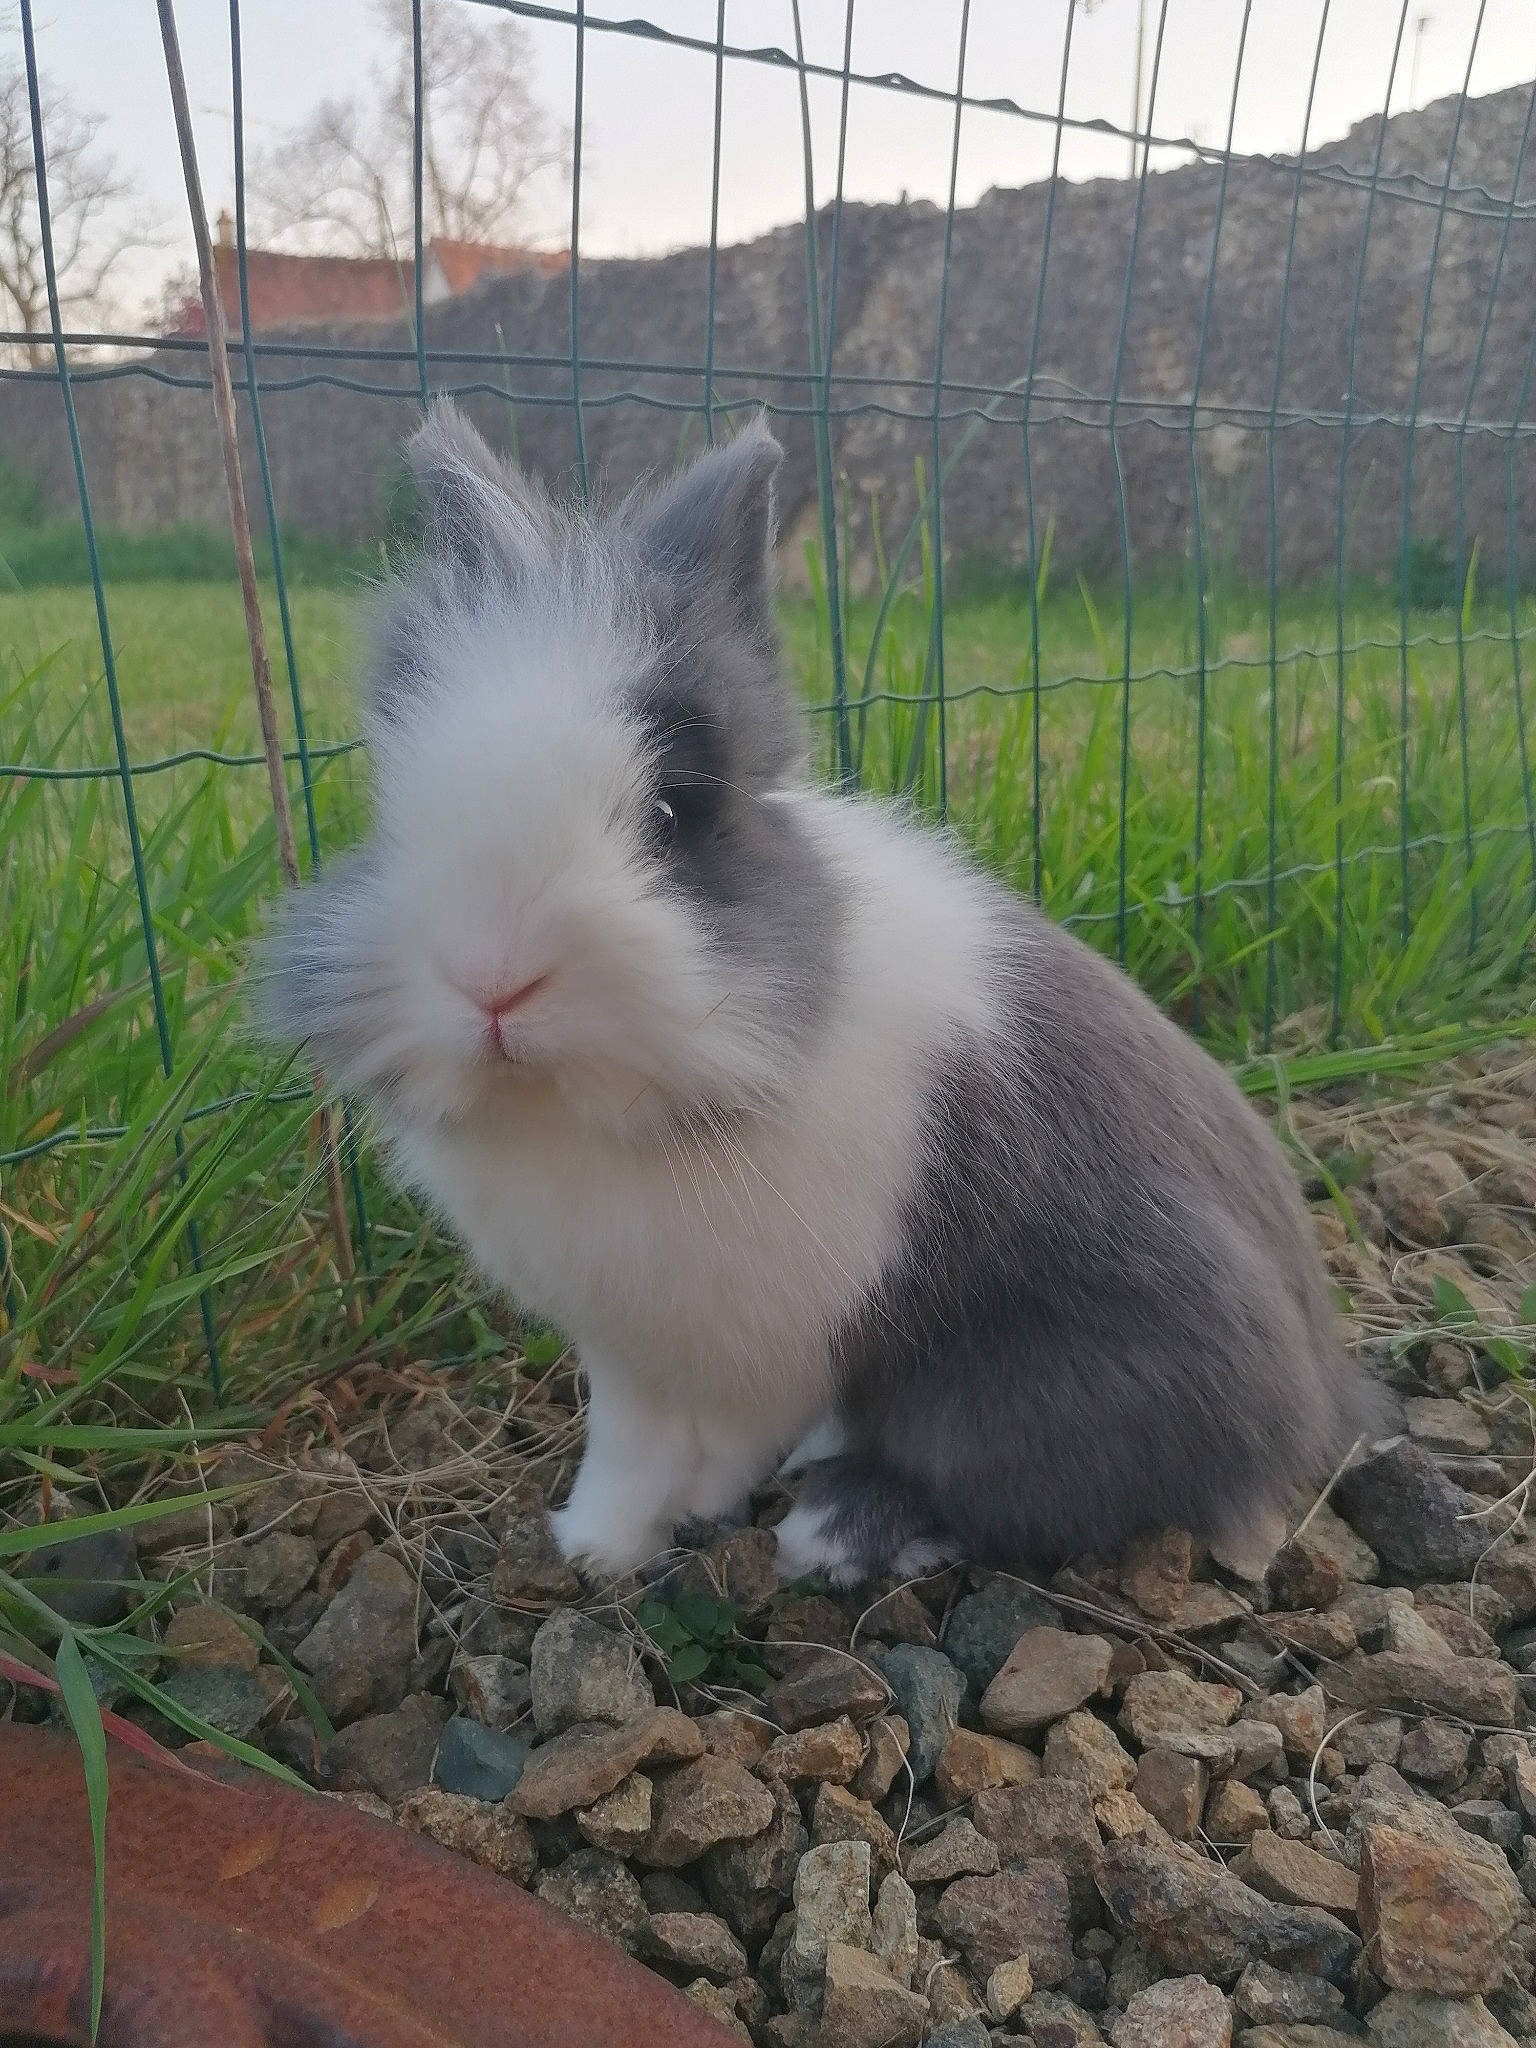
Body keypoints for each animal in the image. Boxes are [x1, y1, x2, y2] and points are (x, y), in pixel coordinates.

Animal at [257, 399, 1383, 1588]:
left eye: (675, 809)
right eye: (392, 805)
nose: (494, 981)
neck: (581, 1112)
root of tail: (1324, 1400)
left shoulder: (747, 1343)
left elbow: (672, 1447)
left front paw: (618, 1544)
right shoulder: (632, 1348)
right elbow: (640, 1444)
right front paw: (608, 1539)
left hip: (1024, 1389)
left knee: (1031, 1494)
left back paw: (837, 1526)